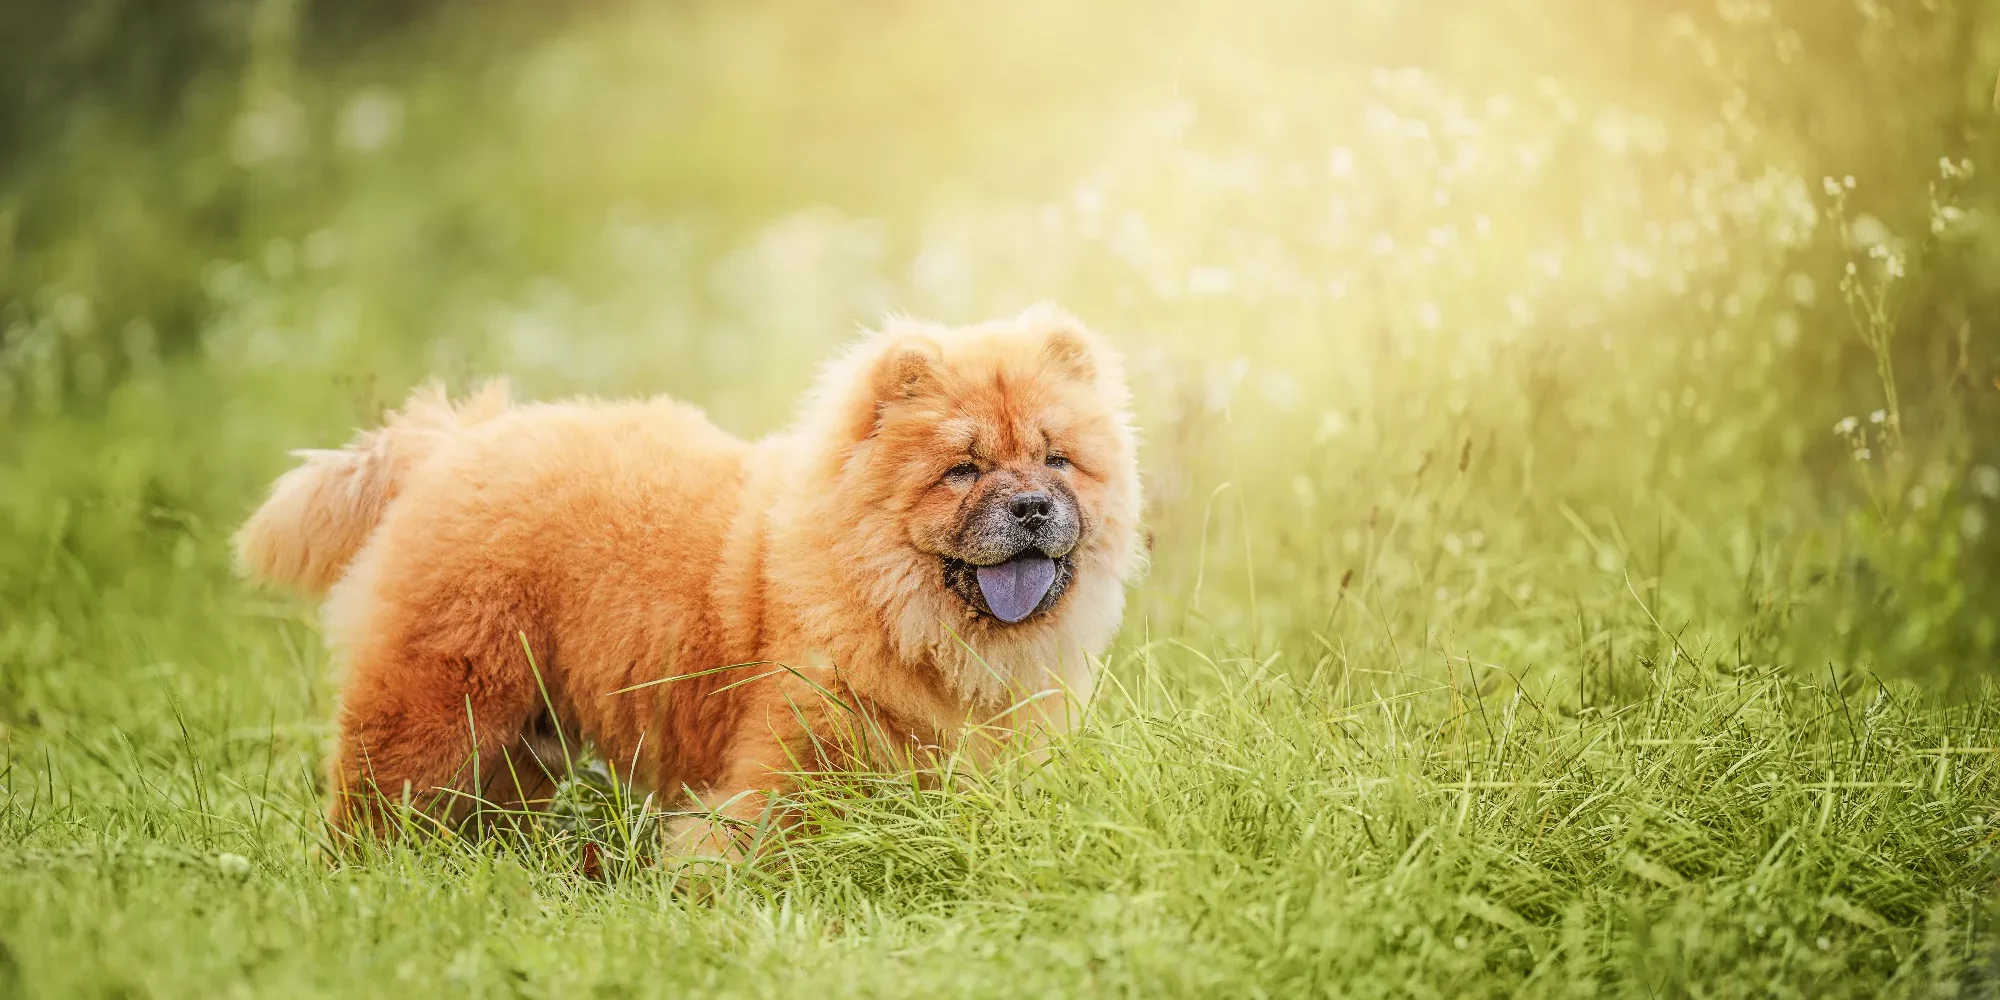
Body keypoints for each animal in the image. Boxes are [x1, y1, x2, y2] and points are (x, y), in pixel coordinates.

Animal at [238, 306, 1144, 860]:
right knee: (372, 807)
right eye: (963, 470)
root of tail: (457, 441)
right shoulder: (793, 756)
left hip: (524, 734)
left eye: (1058, 460)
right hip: (436, 704)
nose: (1032, 506)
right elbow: (751, 842)